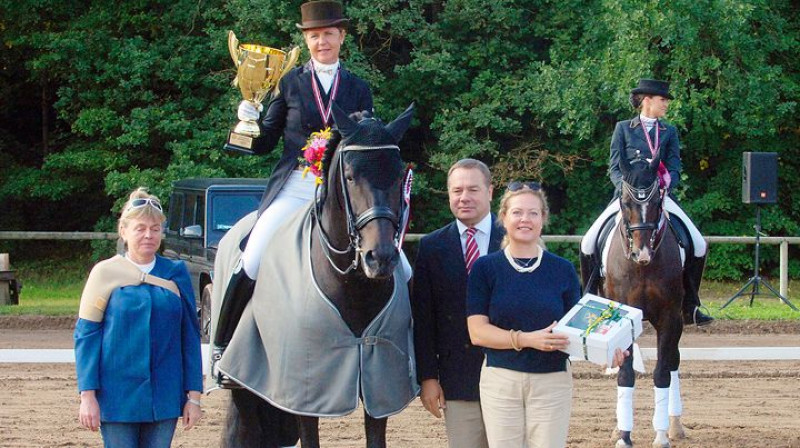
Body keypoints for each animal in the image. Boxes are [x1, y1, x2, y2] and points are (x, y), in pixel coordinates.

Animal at [216, 105, 416, 448]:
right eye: (350, 176)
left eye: (398, 174)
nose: (380, 258)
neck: (353, 285)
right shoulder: (305, 394)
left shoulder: (379, 387)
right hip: (244, 381)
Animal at [580, 152, 688, 446]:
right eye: (626, 202)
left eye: (657, 202)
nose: (642, 253)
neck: (642, 268)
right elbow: (625, 373)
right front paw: (624, 435)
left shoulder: (670, 317)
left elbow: (662, 372)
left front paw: (661, 434)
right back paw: (618, 427)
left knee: (673, 362)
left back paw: (675, 426)